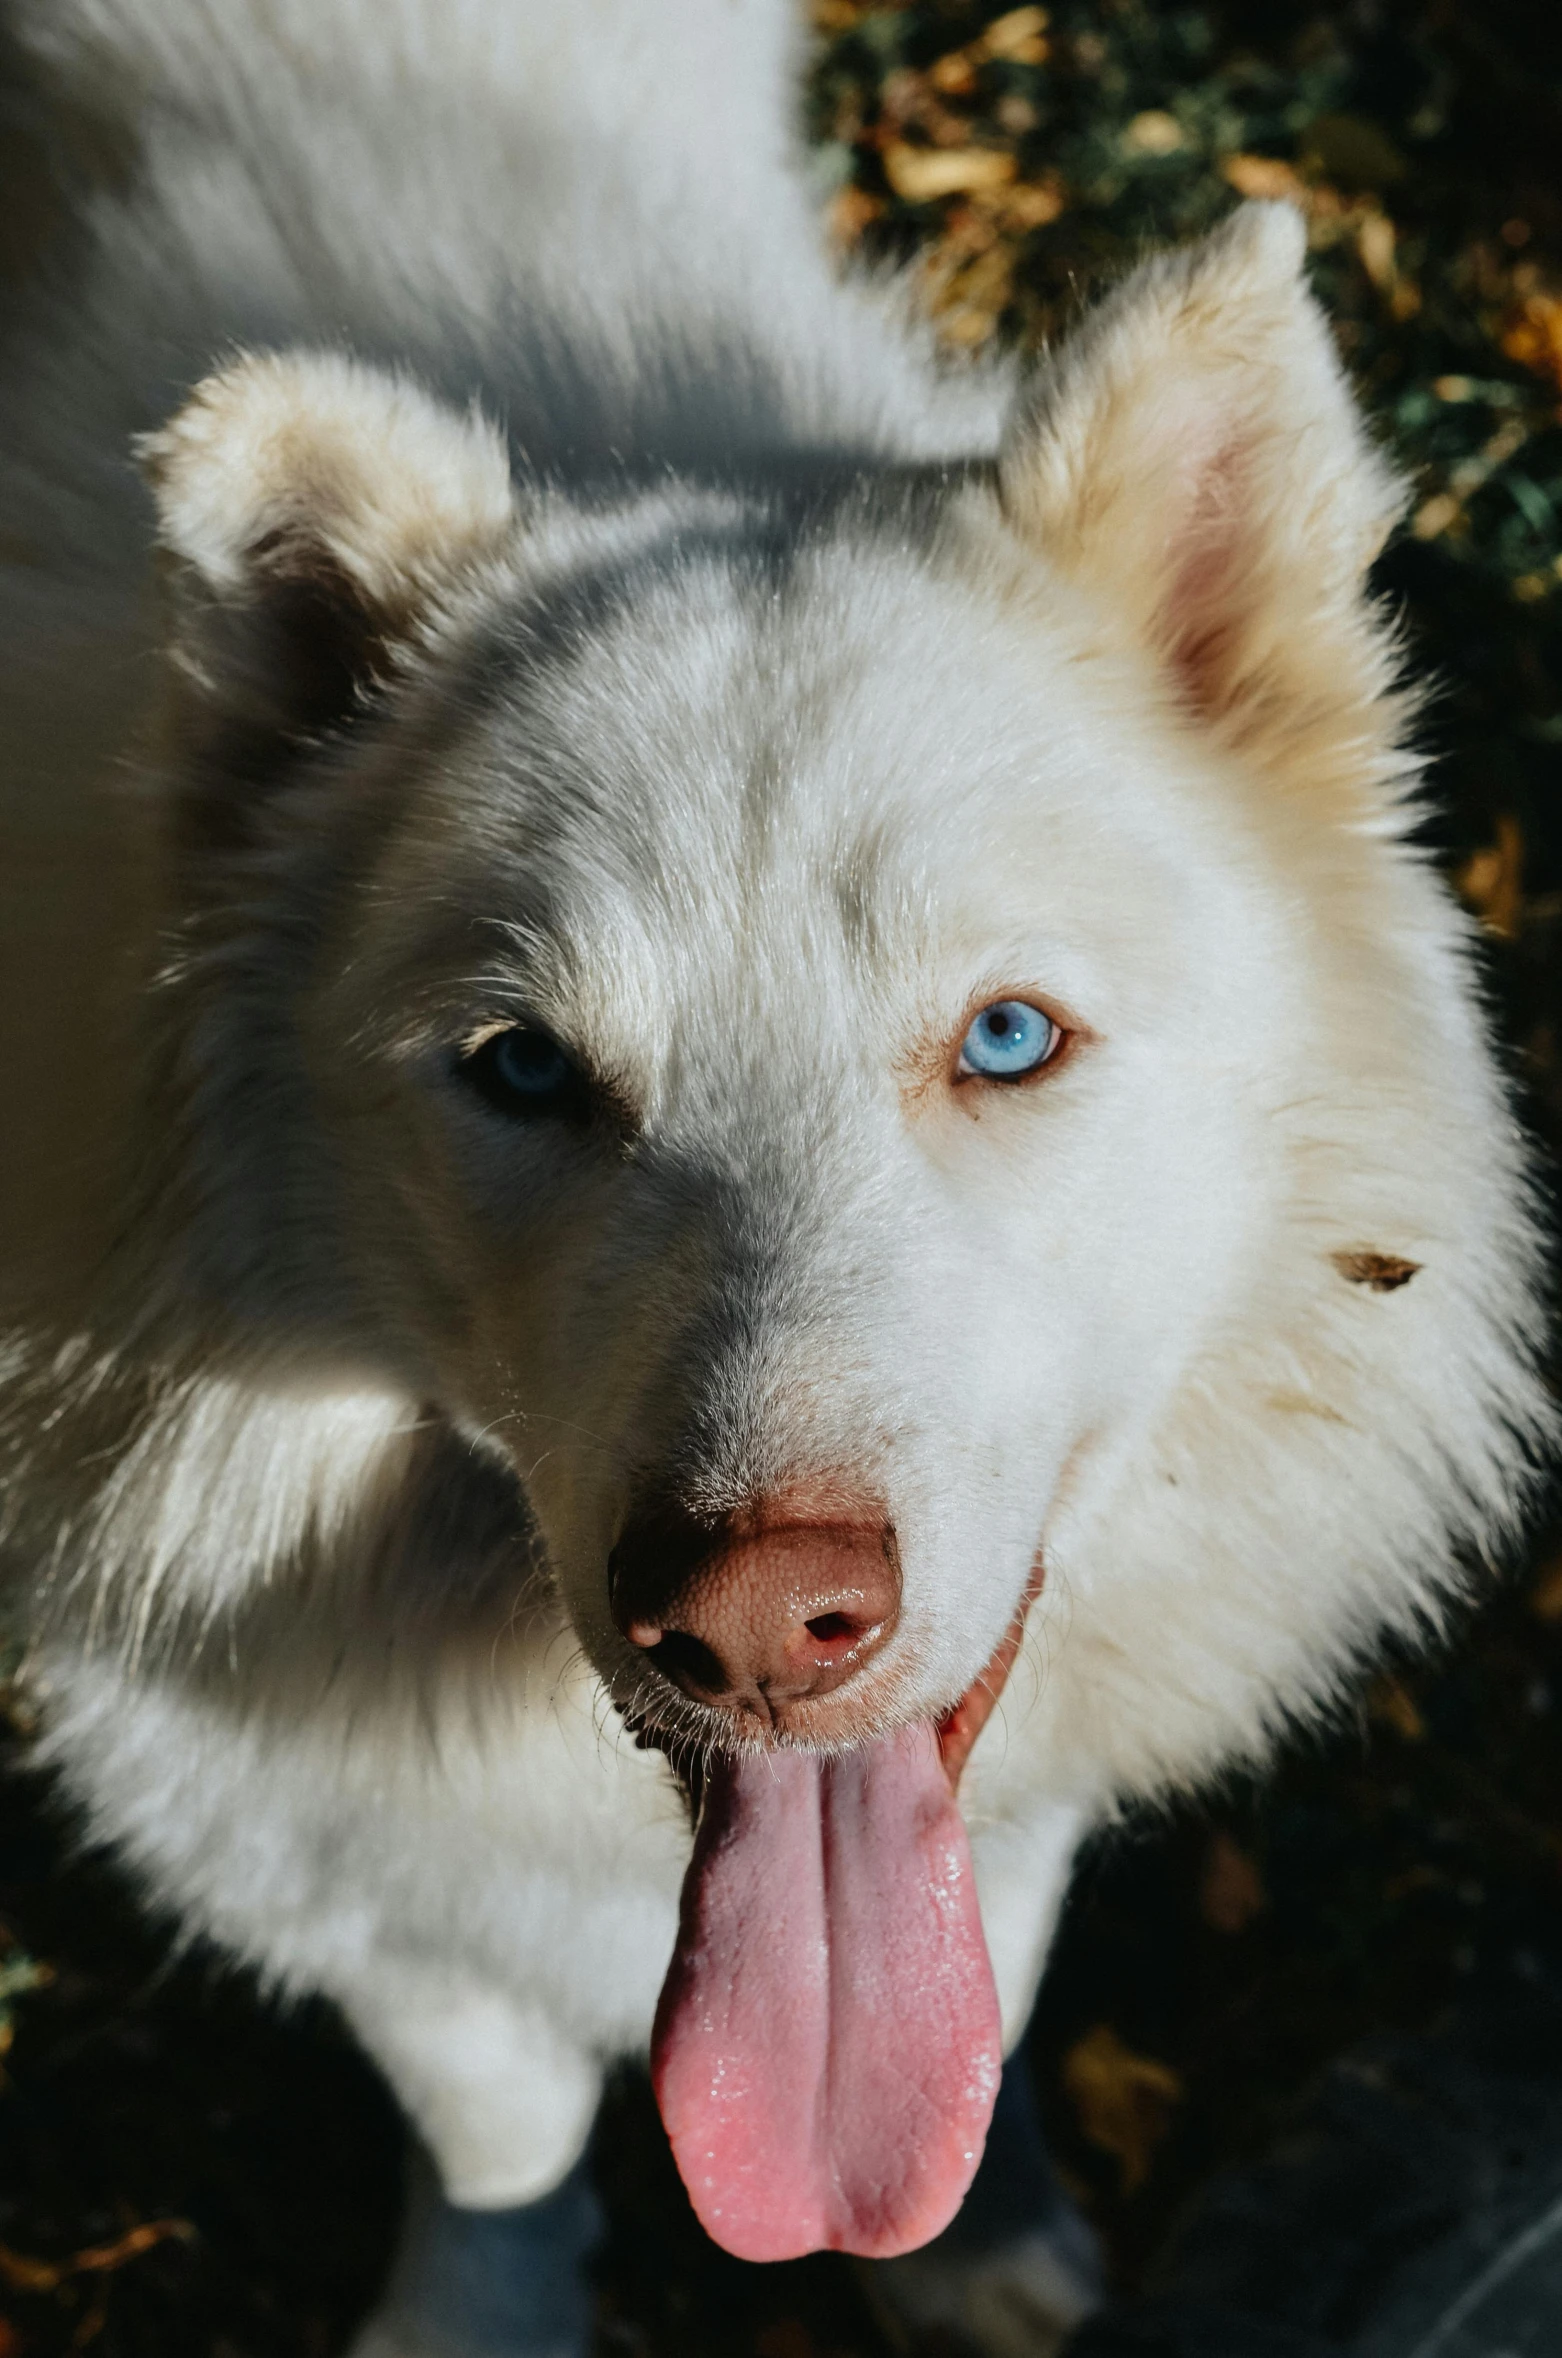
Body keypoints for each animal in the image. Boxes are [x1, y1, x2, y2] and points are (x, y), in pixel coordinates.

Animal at [0, 0, 1547, 2348]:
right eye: (525, 1070)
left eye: (1003, 1040)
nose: (749, 1628)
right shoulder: (318, 1853)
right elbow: (499, 2125)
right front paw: (482, 2313)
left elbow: (987, 1970)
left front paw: (973, 2242)